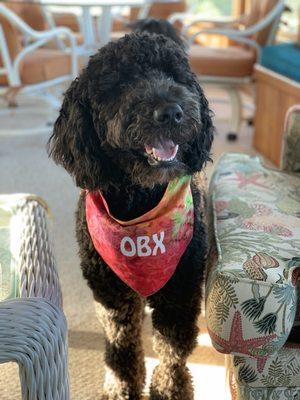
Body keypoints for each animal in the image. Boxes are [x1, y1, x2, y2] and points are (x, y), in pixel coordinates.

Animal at [48, 20, 213, 398]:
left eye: (174, 75)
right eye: (119, 84)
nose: (171, 112)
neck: (140, 199)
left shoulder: (180, 291)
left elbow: (173, 349)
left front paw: (170, 388)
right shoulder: (111, 292)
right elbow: (121, 345)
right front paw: (122, 386)